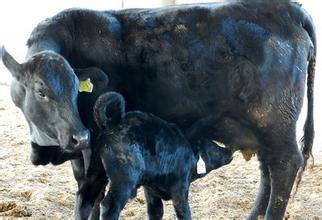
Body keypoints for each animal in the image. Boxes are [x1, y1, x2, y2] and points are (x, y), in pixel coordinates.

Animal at [92, 91, 233, 220]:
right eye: (214, 146)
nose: (230, 149)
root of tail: (113, 124)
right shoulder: (180, 188)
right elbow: (183, 212)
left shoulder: (150, 191)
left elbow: (156, 212)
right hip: (124, 179)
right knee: (109, 206)